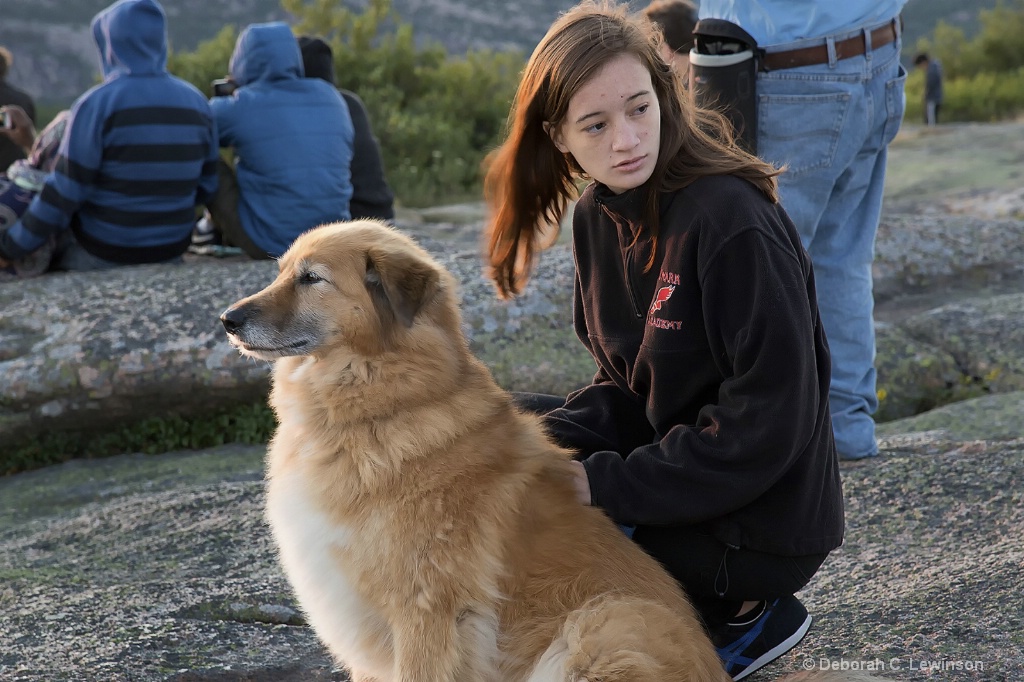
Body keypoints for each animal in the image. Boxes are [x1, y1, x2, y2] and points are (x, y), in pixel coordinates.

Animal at [224, 219, 880, 679]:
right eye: (282, 271)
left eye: (312, 279)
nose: (228, 319)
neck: (385, 402)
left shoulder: (428, 614)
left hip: (604, 626)